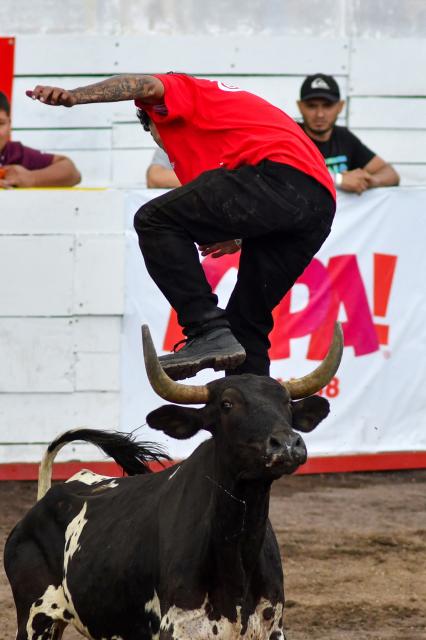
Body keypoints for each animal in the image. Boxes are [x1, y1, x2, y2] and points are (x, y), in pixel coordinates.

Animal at [4, 323, 343, 640]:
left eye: (286, 403)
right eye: (227, 404)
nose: (286, 444)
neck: (236, 555)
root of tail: (47, 498)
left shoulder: (271, 628)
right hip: (35, 620)